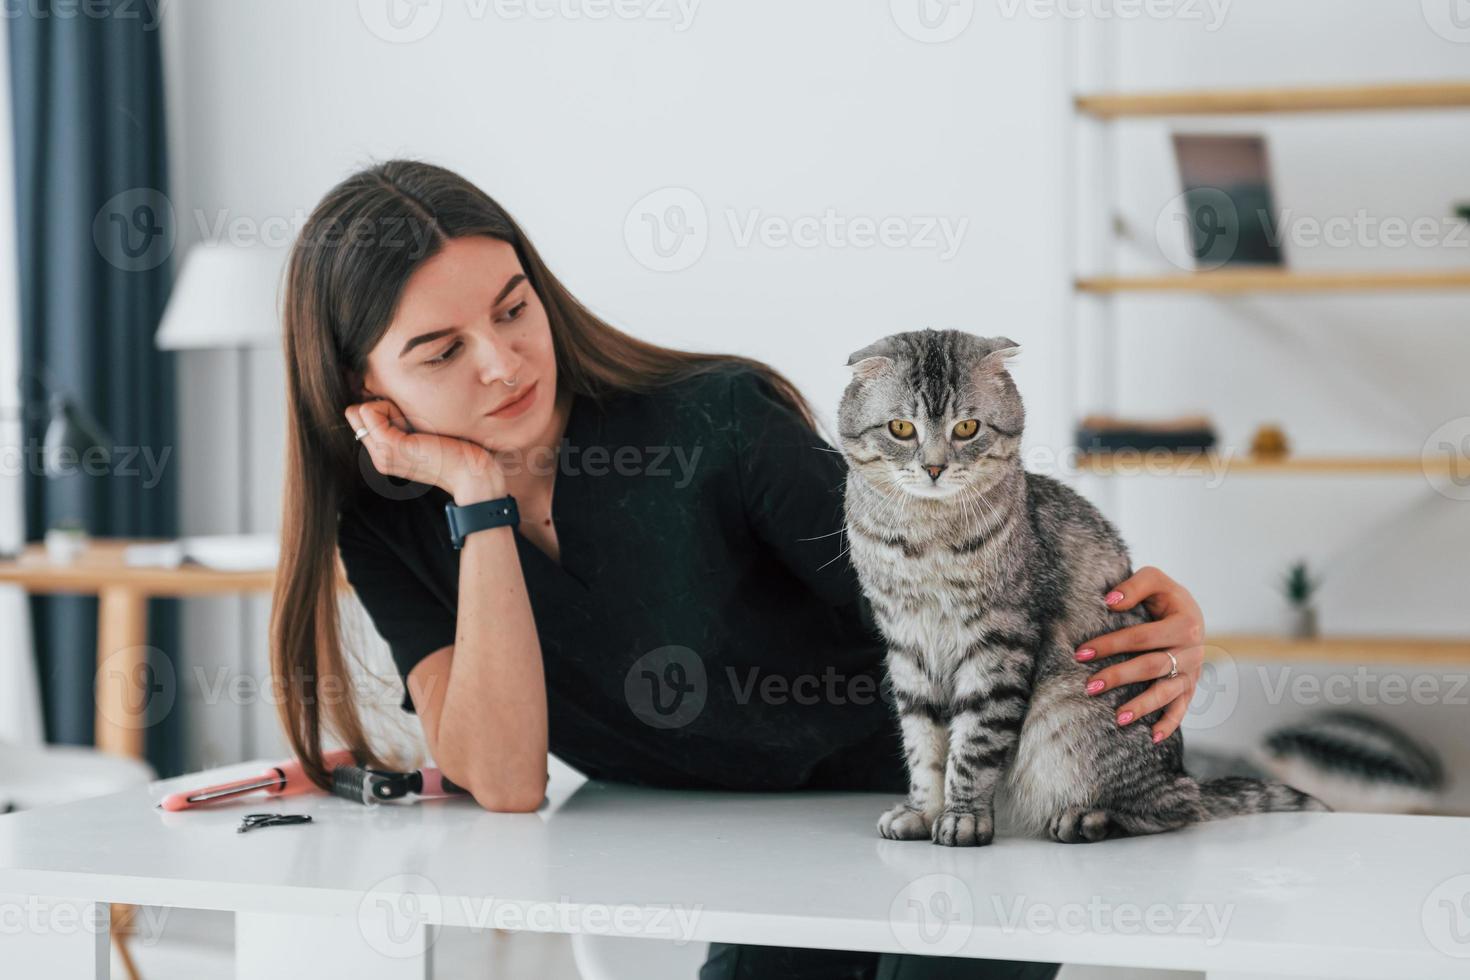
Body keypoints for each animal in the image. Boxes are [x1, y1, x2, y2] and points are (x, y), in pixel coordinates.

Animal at [834, 332, 1328, 852]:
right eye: (901, 428)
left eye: (967, 428)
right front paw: (922, 811)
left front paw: (963, 817)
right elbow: (923, 744)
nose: (933, 467)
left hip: (1069, 718)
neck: (923, 537)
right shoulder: (906, 645)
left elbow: (973, 746)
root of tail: (1185, 773)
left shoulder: (999, 643)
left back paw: (1087, 818)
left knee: (1175, 809)